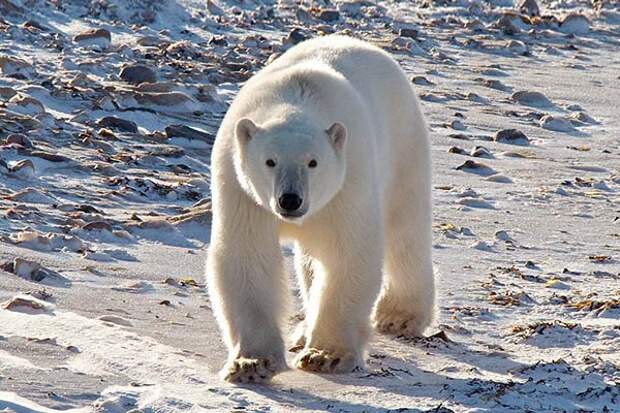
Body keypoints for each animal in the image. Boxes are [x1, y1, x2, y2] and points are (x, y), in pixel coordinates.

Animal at [206, 35, 434, 384]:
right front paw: (251, 362)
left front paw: (326, 355)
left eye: (313, 162)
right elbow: (248, 255)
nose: (290, 200)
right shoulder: (240, 189)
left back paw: (400, 314)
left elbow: (346, 253)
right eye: (270, 161)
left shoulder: (348, 180)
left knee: (405, 229)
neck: (296, 96)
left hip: (403, 145)